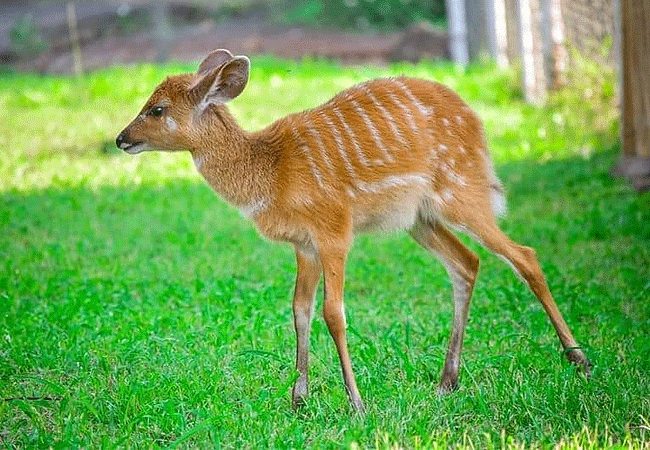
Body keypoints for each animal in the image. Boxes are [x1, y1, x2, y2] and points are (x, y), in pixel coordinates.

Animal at [116, 49, 591, 412]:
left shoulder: (334, 231)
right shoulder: (304, 245)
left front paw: (357, 403)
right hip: (419, 219)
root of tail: (476, 122)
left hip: (462, 192)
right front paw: (298, 400)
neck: (271, 174)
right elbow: (299, 310)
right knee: (467, 262)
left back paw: (580, 360)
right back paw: (447, 380)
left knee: (523, 255)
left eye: (157, 109)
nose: (121, 139)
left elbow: (334, 312)